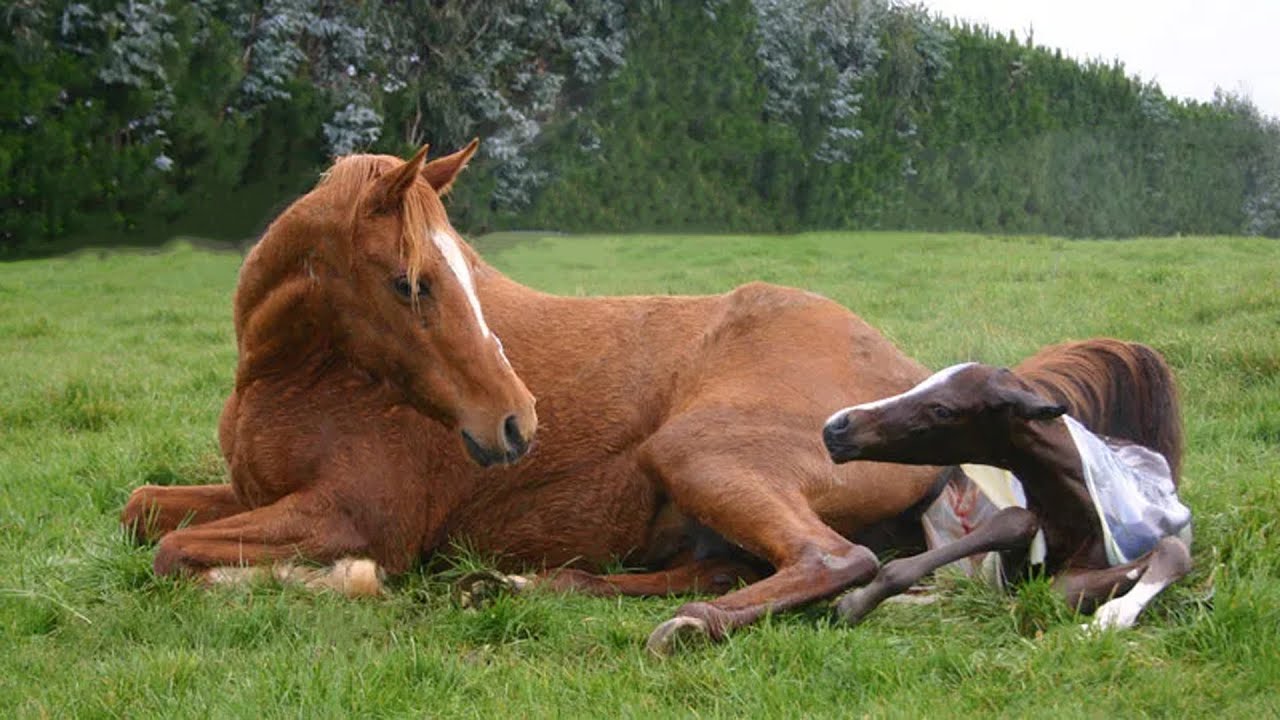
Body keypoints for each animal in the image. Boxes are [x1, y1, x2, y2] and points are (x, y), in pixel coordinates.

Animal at [824, 361, 1192, 625]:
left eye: (943, 409)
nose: (836, 426)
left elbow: (1170, 550)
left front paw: (1111, 616)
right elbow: (1015, 520)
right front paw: (854, 602)